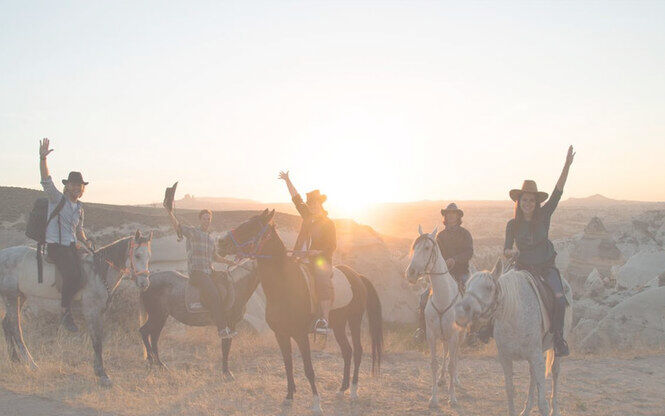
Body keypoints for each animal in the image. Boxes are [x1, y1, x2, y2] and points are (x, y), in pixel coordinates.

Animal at [0, 229, 152, 386]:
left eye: (149, 256)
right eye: (137, 255)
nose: (144, 283)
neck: (98, 272)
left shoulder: (99, 312)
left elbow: (97, 339)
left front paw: (98, 370)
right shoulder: (91, 311)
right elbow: (97, 341)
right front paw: (102, 374)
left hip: (20, 297)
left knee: (6, 323)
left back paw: (15, 360)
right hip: (11, 297)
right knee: (16, 328)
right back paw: (32, 364)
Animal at [217, 210, 382, 412]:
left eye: (251, 227)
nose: (220, 242)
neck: (285, 285)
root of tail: (357, 276)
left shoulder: (301, 335)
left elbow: (308, 369)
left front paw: (316, 404)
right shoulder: (281, 334)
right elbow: (288, 364)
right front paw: (289, 397)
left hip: (354, 319)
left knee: (357, 351)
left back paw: (353, 391)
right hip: (338, 324)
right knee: (347, 351)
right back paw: (342, 389)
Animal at [402, 226, 464, 408]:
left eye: (427, 248)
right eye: (414, 247)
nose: (411, 273)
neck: (443, 297)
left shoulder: (453, 335)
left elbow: (452, 363)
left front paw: (452, 397)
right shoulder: (431, 335)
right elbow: (434, 364)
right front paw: (434, 398)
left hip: (459, 336)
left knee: (455, 356)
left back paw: (455, 380)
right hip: (443, 337)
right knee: (445, 354)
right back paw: (443, 379)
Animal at [454, 260, 572, 416]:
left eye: (488, 288)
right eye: (467, 285)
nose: (460, 313)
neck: (513, 314)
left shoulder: (536, 358)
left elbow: (542, 404)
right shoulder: (506, 358)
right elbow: (510, 390)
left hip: (554, 350)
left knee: (555, 372)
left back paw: (555, 409)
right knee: (533, 376)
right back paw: (526, 409)